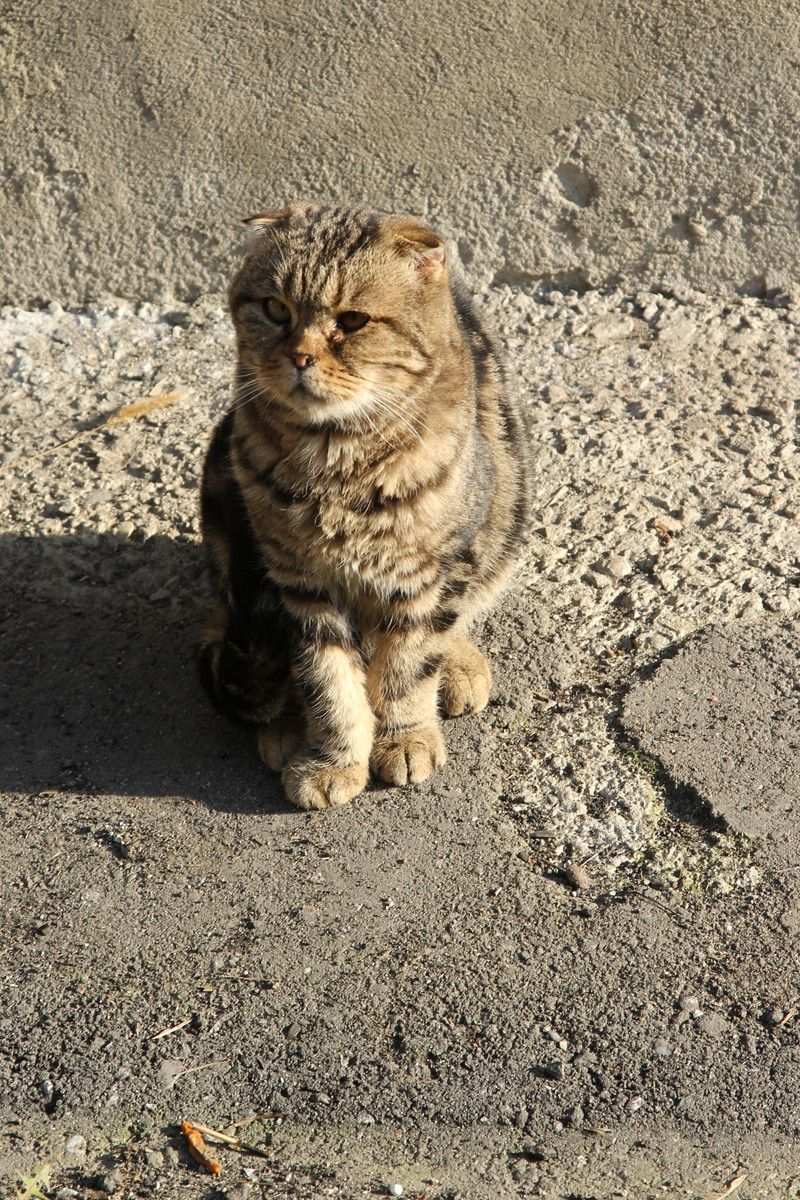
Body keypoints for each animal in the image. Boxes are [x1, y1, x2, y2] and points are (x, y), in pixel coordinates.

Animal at [196, 201, 527, 811]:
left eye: (351, 322)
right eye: (275, 309)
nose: (300, 356)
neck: (336, 465)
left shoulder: (429, 575)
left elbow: (406, 668)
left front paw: (406, 737)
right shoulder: (300, 584)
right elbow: (327, 684)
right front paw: (333, 760)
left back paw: (460, 668)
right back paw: (284, 730)